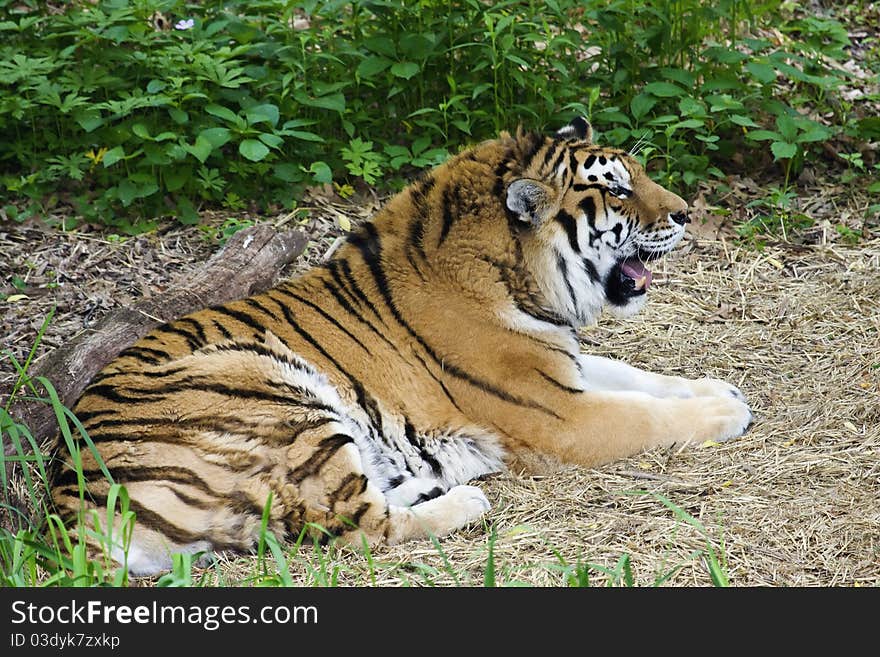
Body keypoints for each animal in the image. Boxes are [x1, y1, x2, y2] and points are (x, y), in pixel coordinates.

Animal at [49, 118, 748, 576]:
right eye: (619, 190)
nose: (687, 213)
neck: (521, 278)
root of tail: (70, 504)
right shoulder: (559, 414)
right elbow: (646, 414)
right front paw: (726, 411)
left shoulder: (562, 365)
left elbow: (638, 375)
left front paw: (718, 388)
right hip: (270, 386)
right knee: (354, 527)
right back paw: (465, 498)